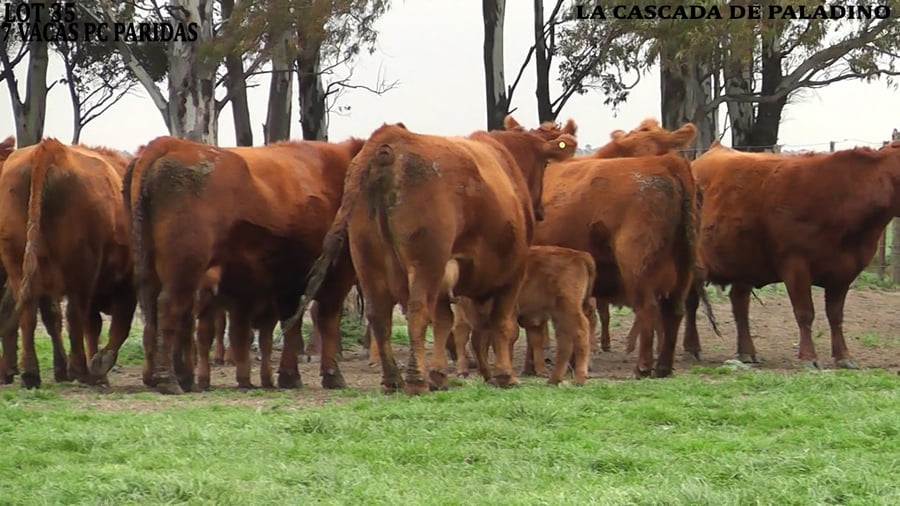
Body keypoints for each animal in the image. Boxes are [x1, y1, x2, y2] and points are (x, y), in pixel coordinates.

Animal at [0, 138, 136, 388]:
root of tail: (50, 149)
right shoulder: (127, 281)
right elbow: (116, 326)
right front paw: (99, 368)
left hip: (18, 265)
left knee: (29, 313)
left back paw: (31, 373)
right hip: (81, 270)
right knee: (74, 314)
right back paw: (77, 368)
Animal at [124, 135, 364, 394]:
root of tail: (172, 143)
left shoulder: (288, 281)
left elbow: (292, 324)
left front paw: (289, 375)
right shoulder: (337, 274)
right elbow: (326, 320)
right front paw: (332, 374)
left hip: (152, 268)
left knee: (156, 313)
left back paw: (167, 377)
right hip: (184, 268)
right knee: (170, 309)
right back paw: (168, 379)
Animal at [286, 117, 577, 395]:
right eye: (546, 164)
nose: (540, 210)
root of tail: (389, 143)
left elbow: (443, 322)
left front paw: (439, 375)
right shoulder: (513, 273)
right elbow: (501, 324)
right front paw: (505, 376)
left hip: (368, 261)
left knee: (378, 314)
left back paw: (393, 380)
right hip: (426, 262)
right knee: (417, 311)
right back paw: (416, 380)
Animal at [682, 140, 900, 370]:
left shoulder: (844, 271)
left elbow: (835, 315)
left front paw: (843, 356)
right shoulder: (795, 264)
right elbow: (805, 313)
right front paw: (809, 357)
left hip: (743, 262)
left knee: (740, 304)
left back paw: (747, 352)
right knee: (691, 303)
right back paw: (692, 348)